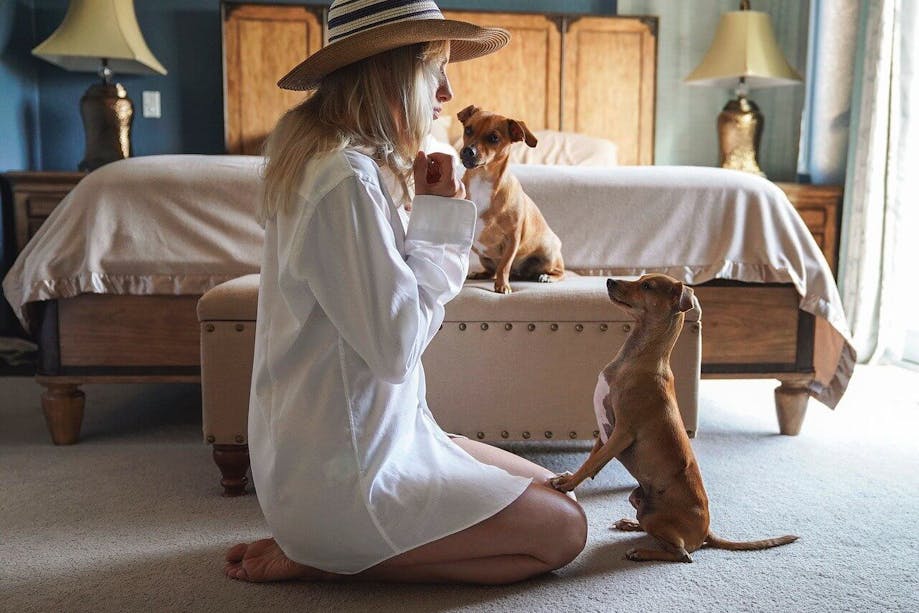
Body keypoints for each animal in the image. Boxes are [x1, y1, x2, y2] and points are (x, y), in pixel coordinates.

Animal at [548, 274, 800, 560]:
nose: (609, 280)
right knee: (652, 529)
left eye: (647, 286)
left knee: (682, 554)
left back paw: (641, 552)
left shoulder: (622, 432)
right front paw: (567, 478)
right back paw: (630, 524)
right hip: (638, 499)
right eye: (640, 278)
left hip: (658, 519)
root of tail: (706, 532)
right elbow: (592, 459)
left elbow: (592, 464)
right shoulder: (604, 431)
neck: (637, 359)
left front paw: (567, 483)